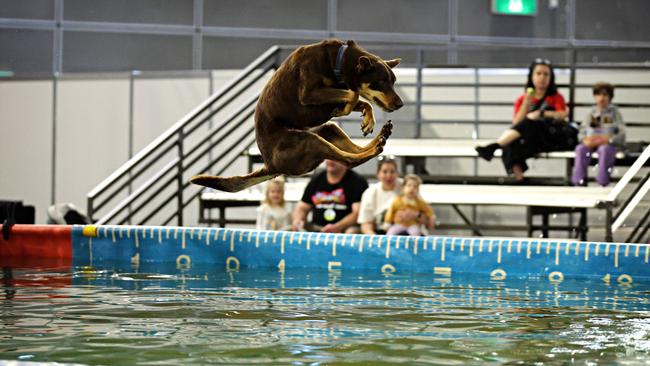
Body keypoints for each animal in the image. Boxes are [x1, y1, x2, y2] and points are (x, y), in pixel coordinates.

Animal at [189, 40, 400, 193]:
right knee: (350, 160)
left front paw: (367, 120)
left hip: (326, 130)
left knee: (354, 150)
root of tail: (270, 165)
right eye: (381, 82)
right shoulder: (308, 93)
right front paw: (345, 110)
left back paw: (381, 136)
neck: (336, 61)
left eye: (393, 81)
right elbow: (352, 93)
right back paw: (376, 144)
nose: (400, 104)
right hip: (308, 140)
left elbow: (361, 100)